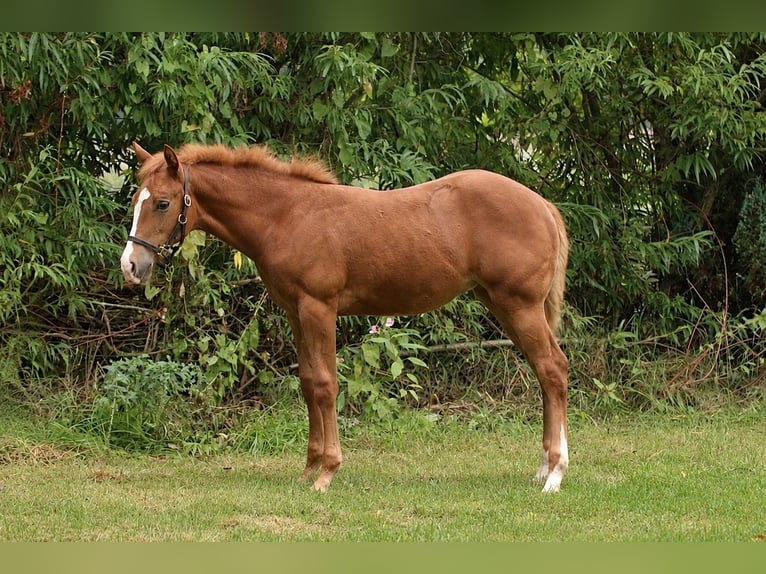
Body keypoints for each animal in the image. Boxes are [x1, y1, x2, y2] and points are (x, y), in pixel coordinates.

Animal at [120, 142, 570, 493]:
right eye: (135, 199)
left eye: (162, 203)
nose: (131, 266)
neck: (287, 216)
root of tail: (543, 206)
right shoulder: (295, 312)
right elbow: (307, 384)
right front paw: (308, 469)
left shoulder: (319, 308)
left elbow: (325, 385)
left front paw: (328, 473)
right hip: (503, 305)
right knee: (545, 373)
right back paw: (543, 469)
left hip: (519, 305)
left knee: (553, 369)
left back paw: (555, 474)